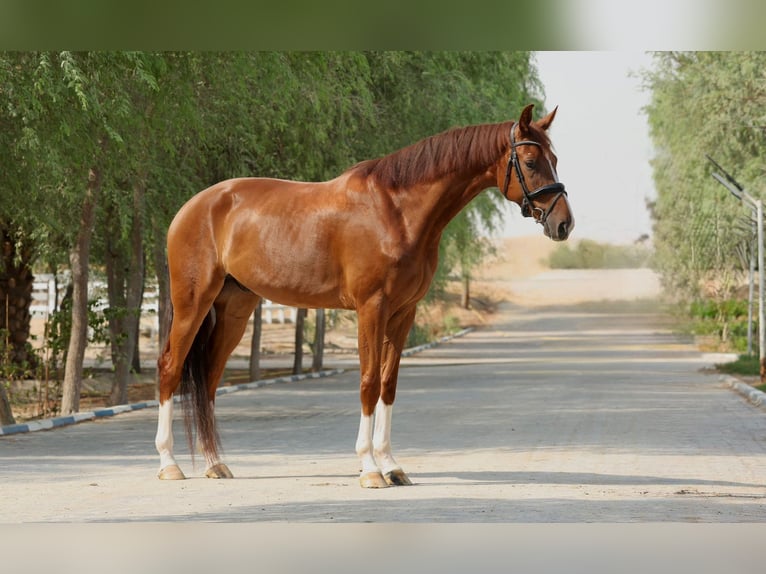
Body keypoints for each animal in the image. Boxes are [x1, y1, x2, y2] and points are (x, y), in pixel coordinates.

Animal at [155, 103, 573, 487]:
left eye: (554, 159)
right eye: (531, 162)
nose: (563, 224)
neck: (397, 211)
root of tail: (193, 206)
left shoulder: (404, 312)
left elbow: (388, 384)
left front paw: (391, 466)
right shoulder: (372, 307)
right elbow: (369, 382)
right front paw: (370, 468)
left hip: (235, 309)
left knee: (208, 379)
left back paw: (215, 464)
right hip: (193, 302)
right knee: (170, 368)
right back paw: (169, 464)